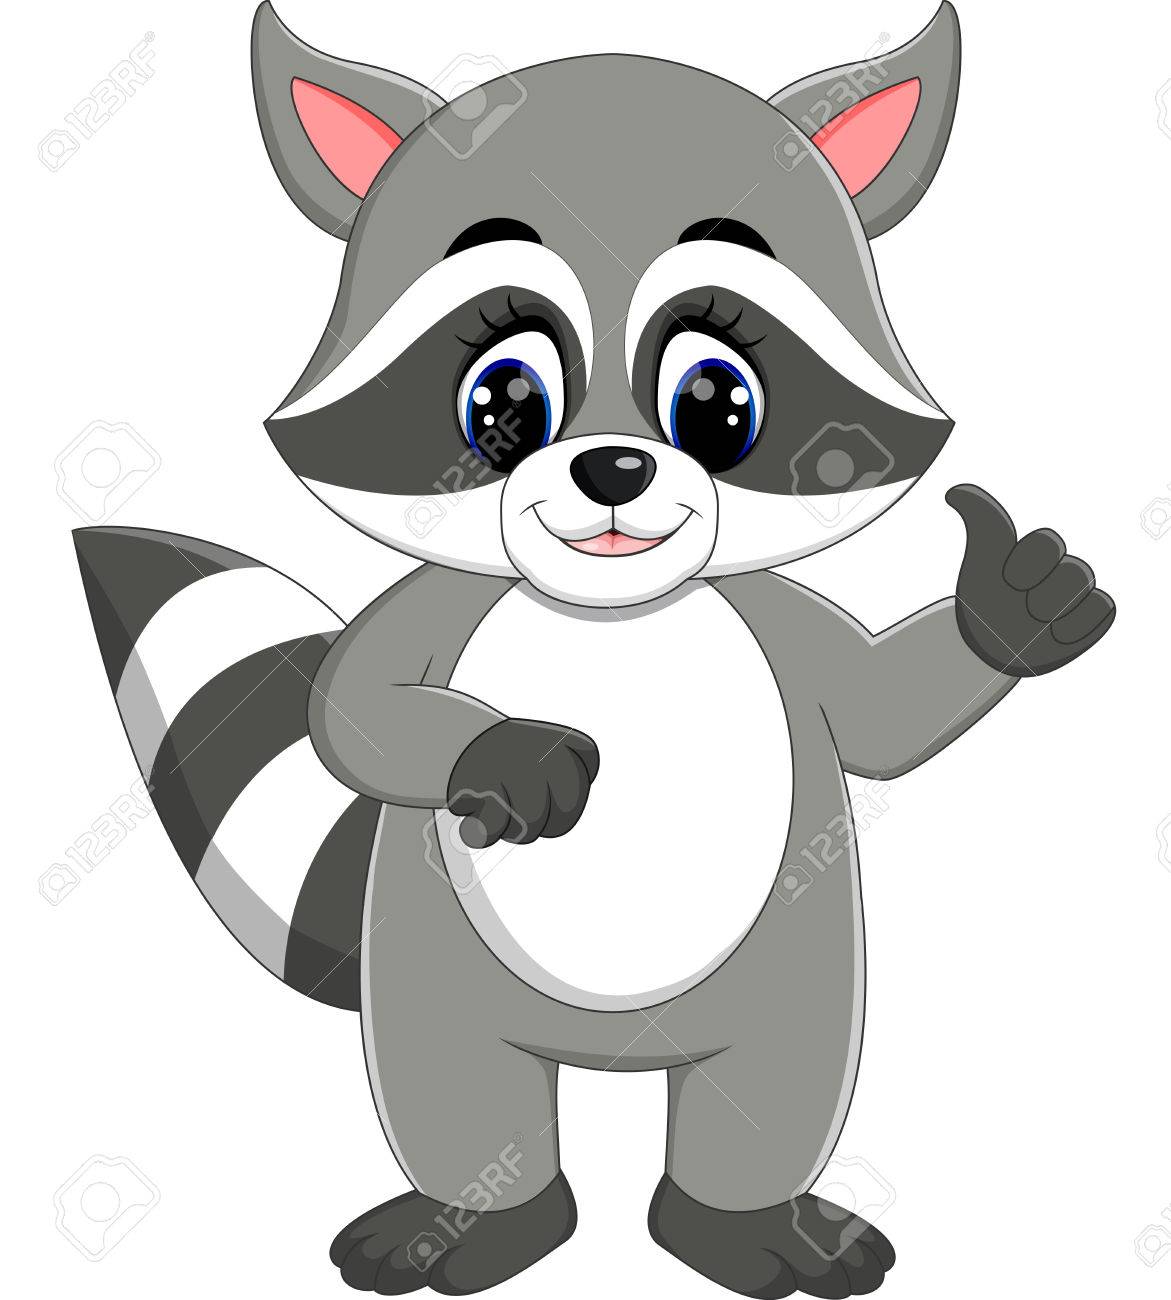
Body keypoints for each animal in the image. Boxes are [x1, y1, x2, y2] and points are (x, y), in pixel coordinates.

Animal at [75, 4, 1114, 1295]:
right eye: (501, 400)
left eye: (718, 401)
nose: (611, 466)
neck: (613, 612)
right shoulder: (426, 608)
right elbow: (353, 716)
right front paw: (512, 756)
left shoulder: (779, 624)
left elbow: (877, 711)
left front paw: (1009, 606)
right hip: (436, 970)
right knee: (462, 1093)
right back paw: (472, 1222)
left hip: (787, 975)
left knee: (765, 1095)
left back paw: (743, 1225)